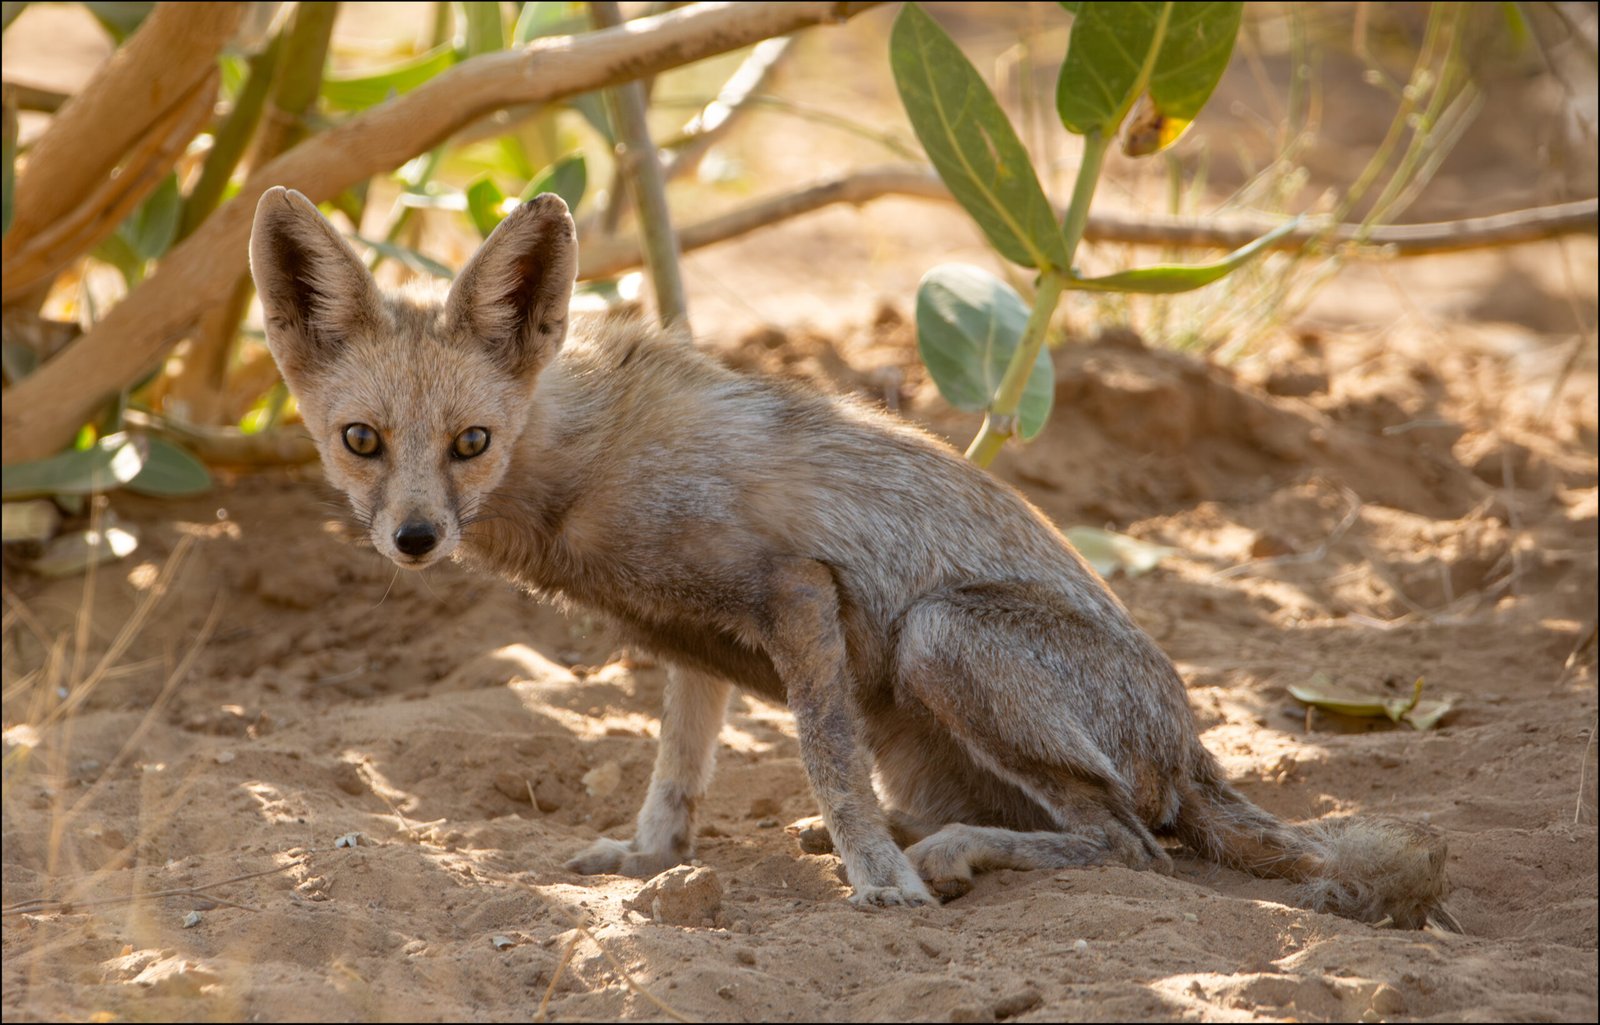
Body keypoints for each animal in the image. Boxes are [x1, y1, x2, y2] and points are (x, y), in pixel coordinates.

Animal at [249, 185, 1456, 929]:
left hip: (939, 638)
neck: (584, 468)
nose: (414, 539)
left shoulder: (794, 594)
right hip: (918, 719)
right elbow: (676, 773)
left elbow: (826, 767)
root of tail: (1195, 748)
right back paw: (924, 834)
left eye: (470, 443)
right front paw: (649, 864)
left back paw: (942, 854)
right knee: (1084, 824)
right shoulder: (681, 631)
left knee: (1133, 844)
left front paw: (878, 884)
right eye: (361, 440)